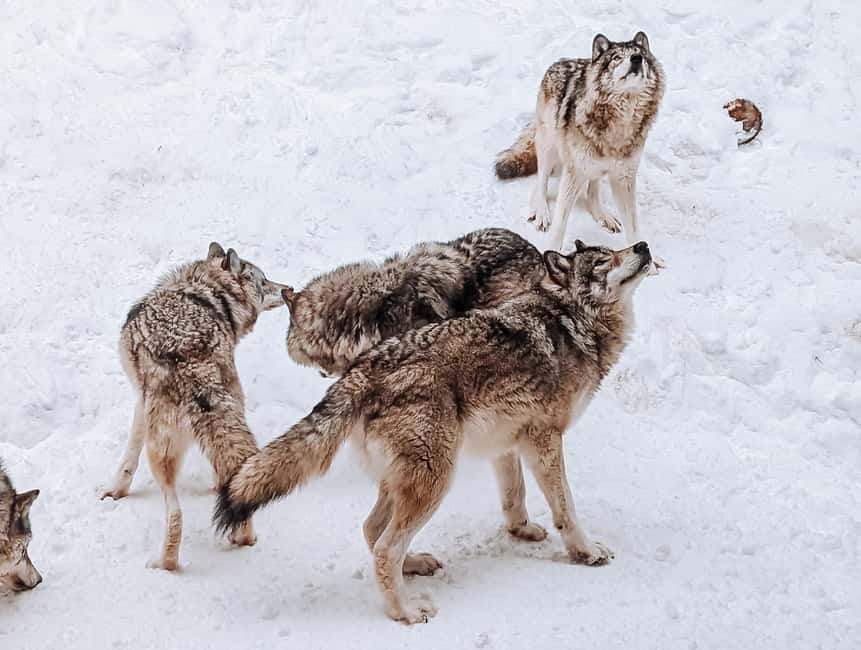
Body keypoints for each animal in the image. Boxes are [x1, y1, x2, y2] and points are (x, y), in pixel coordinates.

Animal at [98, 243, 290, 571]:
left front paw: (116, 491)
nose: (289, 288)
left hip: (160, 455)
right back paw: (243, 538)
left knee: (175, 514)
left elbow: (129, 455)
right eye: (265, 282)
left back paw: (164, 563)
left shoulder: (140, 402)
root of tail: (193, 368)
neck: (208, 290)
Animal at [495, 32, 665, 259]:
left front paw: (651, 259)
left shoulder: (624, 177)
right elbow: (560, 224)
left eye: (640, 55)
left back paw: (602, 215)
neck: (621, 120)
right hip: (550, 145)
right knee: (540, 182)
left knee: (592, 191)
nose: (636, 59)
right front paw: (550, 253)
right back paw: (541, 211)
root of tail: (560, 61)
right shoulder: (574, 172)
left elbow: (634, 225)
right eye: (616, 58)